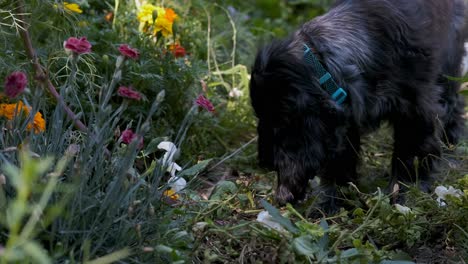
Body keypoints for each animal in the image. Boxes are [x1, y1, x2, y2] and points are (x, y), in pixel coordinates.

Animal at [250, 0, 466, 210]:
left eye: (281, 119)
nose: (264, 161)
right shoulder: (346, 122)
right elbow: (340, 166)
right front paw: (330, 206)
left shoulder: (415, 113)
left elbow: (409, 156)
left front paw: (403, 195)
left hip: (448, 69)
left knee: (454, 107)